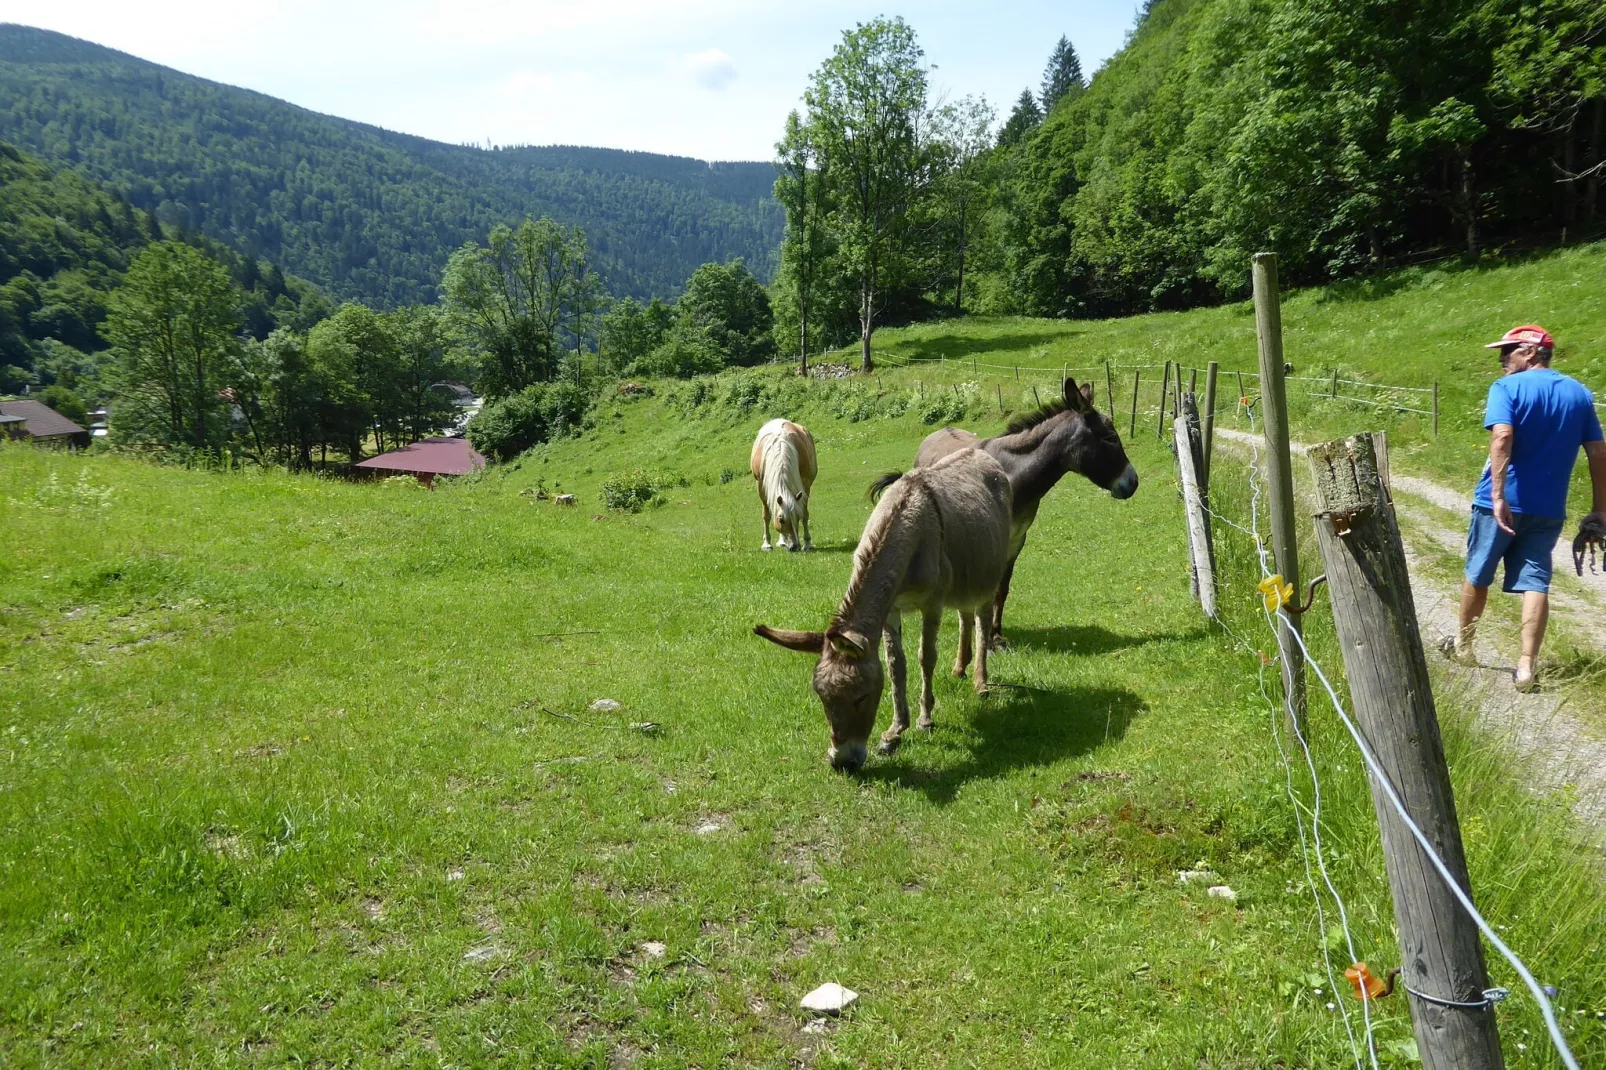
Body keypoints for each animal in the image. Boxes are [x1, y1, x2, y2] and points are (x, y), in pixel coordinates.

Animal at [748, 417, 815, 549]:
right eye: (781, 520)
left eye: (797, 518)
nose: (794, 546)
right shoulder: (761, 485)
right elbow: (766, 515)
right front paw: (766, 544)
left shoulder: (806, 484)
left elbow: (805, 513)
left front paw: (807, 543)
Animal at [754, 440, 1008, 767]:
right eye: (822, 697)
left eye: (861, 697)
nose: (842, 763)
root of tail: (980, 452)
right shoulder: (891, 609)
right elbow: (895, 665)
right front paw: (895, 731)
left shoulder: (932, 604)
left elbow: (926, 658)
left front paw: (926, 719)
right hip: (964, 581)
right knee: (965, 615)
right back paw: (960, 669)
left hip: (989, 576)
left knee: (982, 620)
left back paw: (980, 682)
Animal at [912, 379, 1137, 645]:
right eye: (1110, 437)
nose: (1134, 482)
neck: (1011, 478)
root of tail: (940, 430)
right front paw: (986, 639)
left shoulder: (1017, 540)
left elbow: (1002, 590)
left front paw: (996, 635)